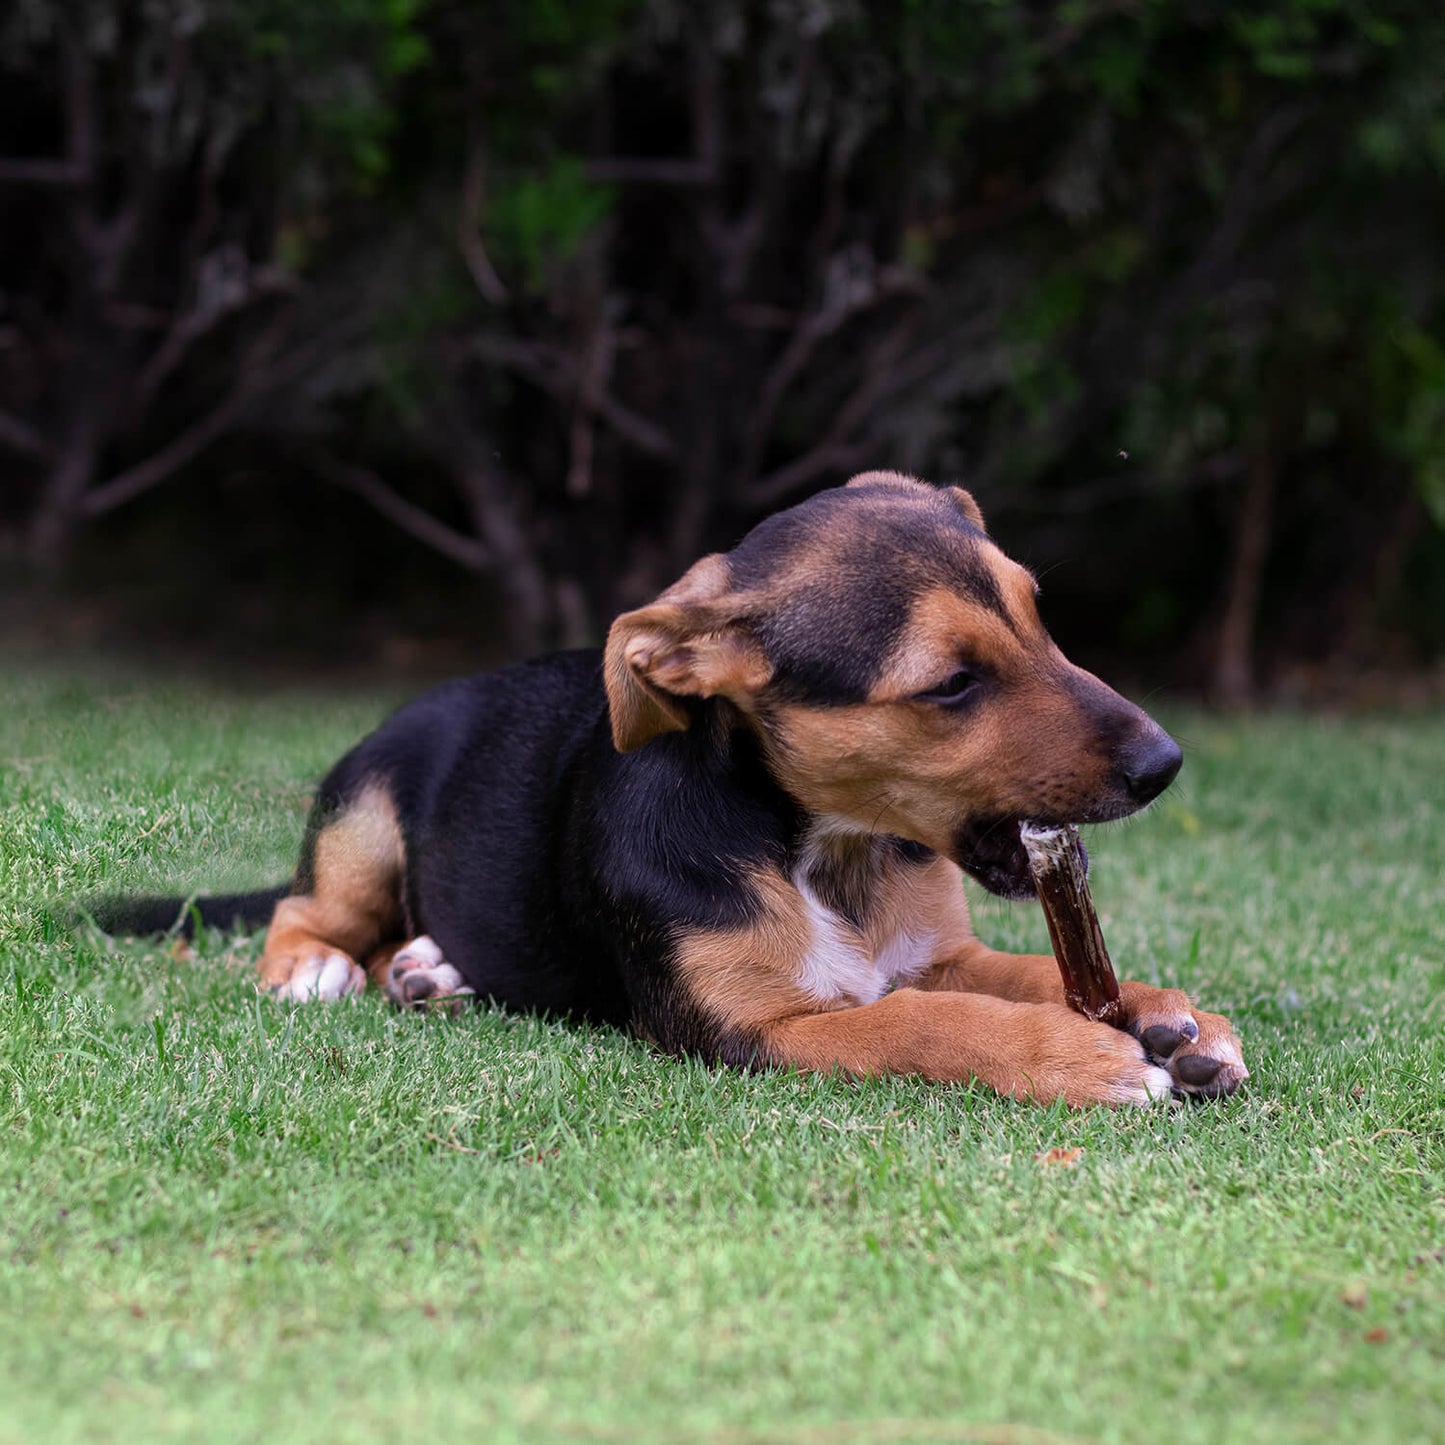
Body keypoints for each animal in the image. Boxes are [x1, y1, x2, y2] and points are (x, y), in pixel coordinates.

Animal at [101, 473, 1248, 1103]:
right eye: (951, 682)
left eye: (1038, 616)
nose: (1163, 765)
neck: (819, 847)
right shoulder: (749, 1029)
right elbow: (928, 1024)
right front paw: (1081, 1055)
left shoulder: (938, 952)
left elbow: (1016, 972)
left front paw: (1168, 1016)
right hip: (364, 817)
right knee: (305, 910)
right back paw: (319, 969)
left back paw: (425, 973)